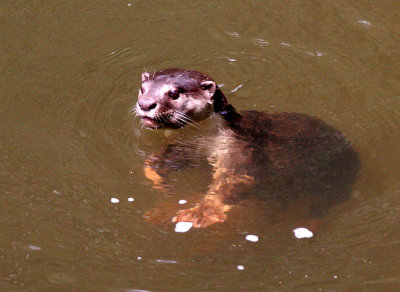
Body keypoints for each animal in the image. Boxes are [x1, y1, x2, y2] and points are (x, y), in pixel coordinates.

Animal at [134, 68, 360, 228]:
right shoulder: (190, 146)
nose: (145, 104)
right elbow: (167, 156)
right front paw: (154, 173)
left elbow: (234, 181)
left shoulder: (239, 149)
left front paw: (200, 213)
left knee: (322, 206)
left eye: (174, 93)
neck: (212, 134)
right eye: (143, 88)